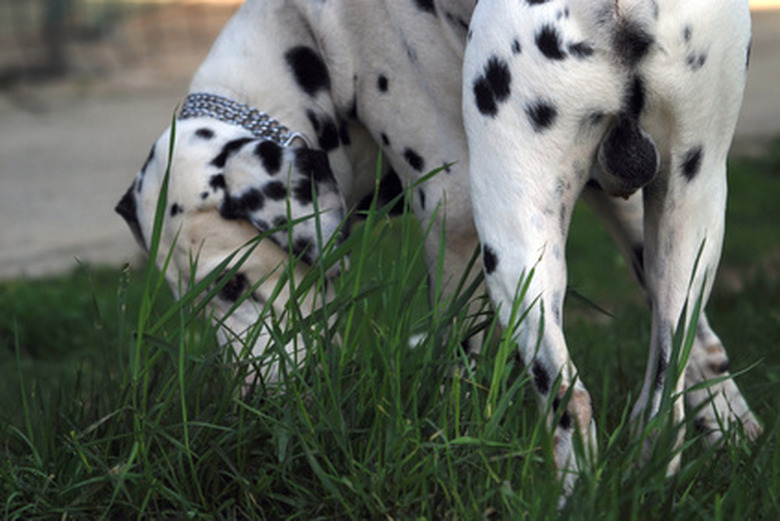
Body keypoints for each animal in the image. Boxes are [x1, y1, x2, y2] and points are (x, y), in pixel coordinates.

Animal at [116, 0, 760, 492]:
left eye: (232, 283)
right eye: (192, 304)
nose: (250, 397)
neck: (307, 30)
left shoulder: (452, 216)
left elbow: (456, 361)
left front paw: (450, 444)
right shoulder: (628, 205)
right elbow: (700, 349)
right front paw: (736, 431)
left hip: (512, 244)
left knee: (569, 397)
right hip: (688, 206)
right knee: (665, 388)